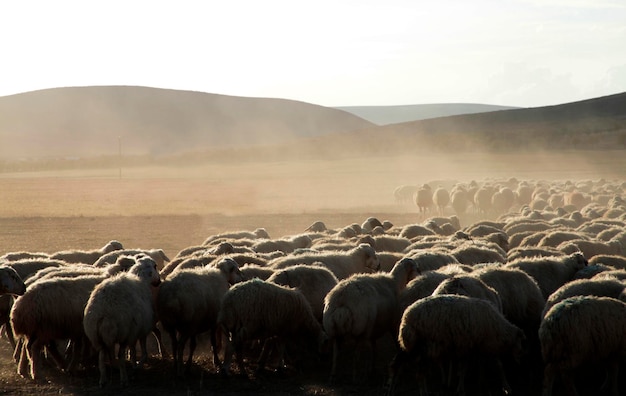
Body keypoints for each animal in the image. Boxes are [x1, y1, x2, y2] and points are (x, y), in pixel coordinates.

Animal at [81, 254, 161, 386]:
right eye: (155, 266)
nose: (159, 282)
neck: (142, 280)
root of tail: (106, 313)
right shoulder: (141, 330)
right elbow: (141, 352)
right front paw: (136, 367)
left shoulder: (135, 330)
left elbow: (133, 350)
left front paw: (134, 364)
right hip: (123, 333)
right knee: (120, 355)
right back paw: (124, 379)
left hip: (96, 336)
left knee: (101, 358)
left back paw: (103, 380)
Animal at [322, 256, 420, 384]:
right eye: (417, 268)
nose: (420, 276)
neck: (395, 282)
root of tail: (342, 300)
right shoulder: (392, 324)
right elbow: (395, 343)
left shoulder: (375, 328)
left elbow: (374, 349)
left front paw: (372, 369)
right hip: (361, 329)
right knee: (356, 355)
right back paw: (355, 378)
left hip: (334, 331)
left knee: (336, 354)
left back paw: (333, 376)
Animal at [388, 294, 524, 396]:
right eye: (522, 344)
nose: (520, 362)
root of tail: (406, 318)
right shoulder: (468, 345)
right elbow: (466, 367)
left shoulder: (475, 345)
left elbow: (481, 364)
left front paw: (482, 383)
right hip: (423, 346)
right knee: (418, 373)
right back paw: (422, 392)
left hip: (413, 347)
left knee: (399, 364)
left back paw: (394, 388)